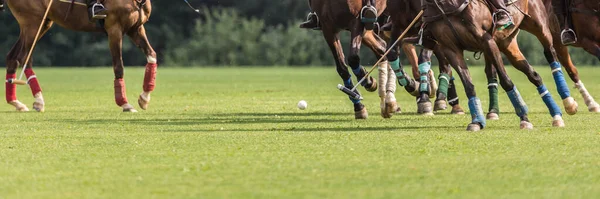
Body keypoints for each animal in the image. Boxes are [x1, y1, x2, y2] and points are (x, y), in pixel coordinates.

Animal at [1, 0, 157, 112]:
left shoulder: (135, 28)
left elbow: (152, 55)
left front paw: (144, 99)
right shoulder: (114, 29)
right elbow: (118, 66)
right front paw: (125, 104)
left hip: (42, 23)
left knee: (13, 57)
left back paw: (16, 103)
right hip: (32, 22)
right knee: (24, 58)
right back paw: (38, 100)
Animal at [418, 0, 576, 131]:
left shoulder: (487, 40)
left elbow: (506, 81)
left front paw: (524, 118)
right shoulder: (450, 49)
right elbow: (469, 86)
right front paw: (477, 121)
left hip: (539, 25)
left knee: (551, 53)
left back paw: (567, 104)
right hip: (507, 43)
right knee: (534, 75)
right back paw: (556, 113)